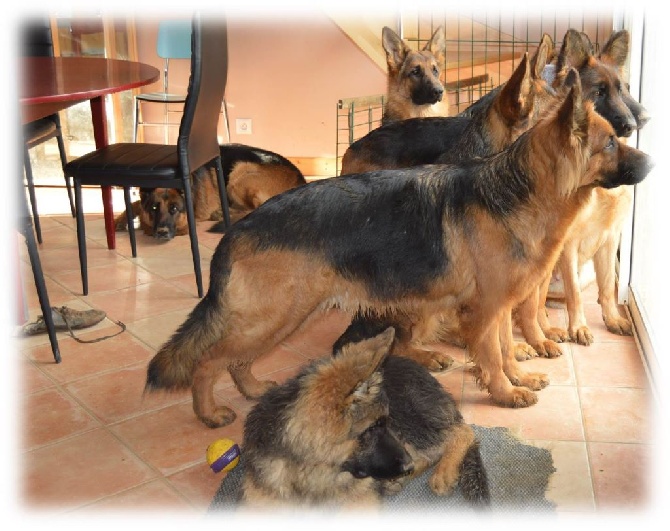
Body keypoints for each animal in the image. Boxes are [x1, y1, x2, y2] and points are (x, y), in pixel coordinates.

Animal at [114, 143, 306, 239]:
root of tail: (300, 179)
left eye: (175, 208)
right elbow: (135, 202)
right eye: (154, 208)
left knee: (255, 208)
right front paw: (121, 220)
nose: (162, 232)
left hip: (240, 172)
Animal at [144, 80, 652, 428]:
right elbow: (492, 355)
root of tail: (239, 228)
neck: (516, 189)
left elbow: (508, 349)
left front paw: (517, 379)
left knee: (238, 360)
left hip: (282, 319)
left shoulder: (502, 308)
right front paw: (504, 394)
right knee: (208, 362)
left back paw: (252, 389)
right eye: (610, 142)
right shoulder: (486, 311)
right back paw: (209, 412)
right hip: (272, 317)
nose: (650, 161)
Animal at [239, 330, 490, 510]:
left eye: (380, 424)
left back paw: (443, 473)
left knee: (461, 432)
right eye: (371, 429)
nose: (406, 466)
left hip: (409, 420)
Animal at [532, 29, 652, 348]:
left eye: (624, 90)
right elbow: (573, 292)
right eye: (599, 92)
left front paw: (611, 318)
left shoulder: (610, 238)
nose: (640, 120)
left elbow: (608, 287)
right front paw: (579, 327)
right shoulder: (569, 242)